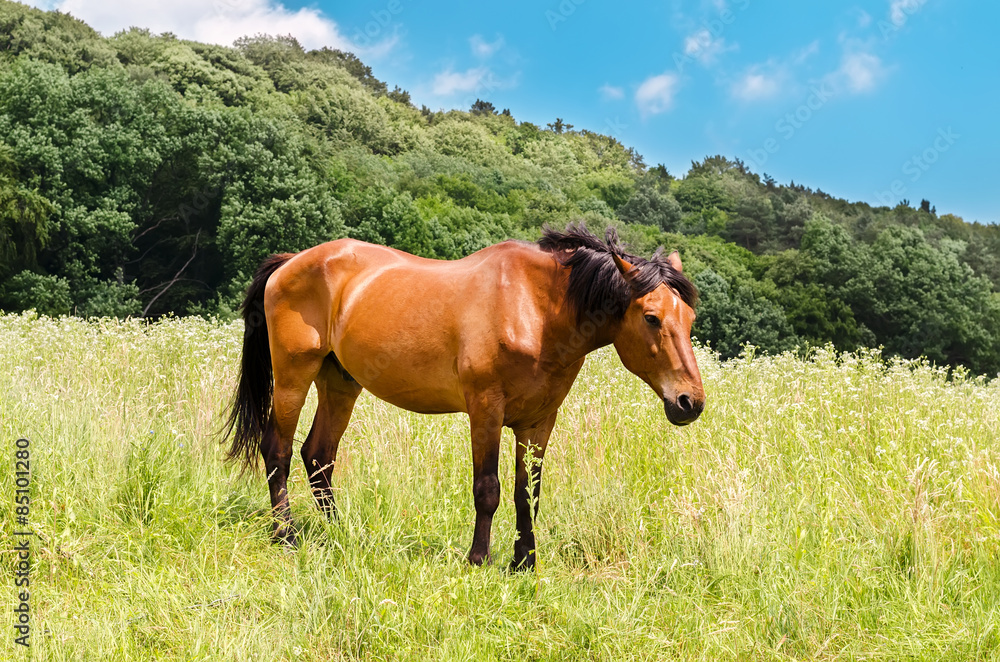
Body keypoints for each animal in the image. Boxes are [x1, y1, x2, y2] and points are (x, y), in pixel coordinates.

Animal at [224, 224, 704, 570]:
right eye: (651, 317)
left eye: (690, 318)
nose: (690, 402)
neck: (534, 309)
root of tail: (290, 263)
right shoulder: (485, 409)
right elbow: (488, 488)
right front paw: (478, 559)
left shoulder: (538, 421)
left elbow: (527, 493)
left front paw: (524, 563)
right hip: (294, 375)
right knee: (279, 450)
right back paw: (285, 535)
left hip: (340, 382)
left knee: (319, 456)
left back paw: (340, 534)